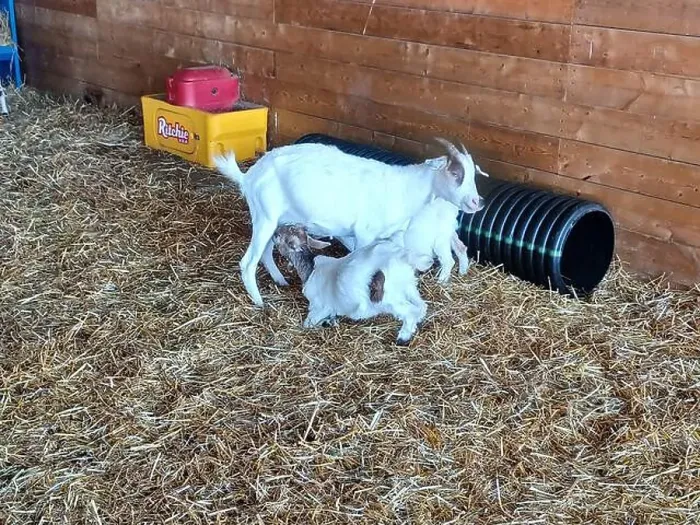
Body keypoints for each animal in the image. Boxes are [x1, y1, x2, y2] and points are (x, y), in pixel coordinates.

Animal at [214, 138, 486, 306]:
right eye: (455, 173)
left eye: (473, 174)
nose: (477, 202)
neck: (404, 189)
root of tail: (249, 175)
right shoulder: (365, 233)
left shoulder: (396, 235)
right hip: (265, 216)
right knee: (248, 262)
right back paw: (259, 303)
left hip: (274, 219)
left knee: (266, 253)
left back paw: (280, 280)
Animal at [272, 225, 432, 345]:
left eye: (280, 237)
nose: (274, 233)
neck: (311, 268)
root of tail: (403, 257)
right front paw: (331, 321)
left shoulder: (319, 307)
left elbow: (307, 324)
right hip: (408, 286)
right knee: (421, 306)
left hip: (388, 298)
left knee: (410, 311)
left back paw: (403, 337)